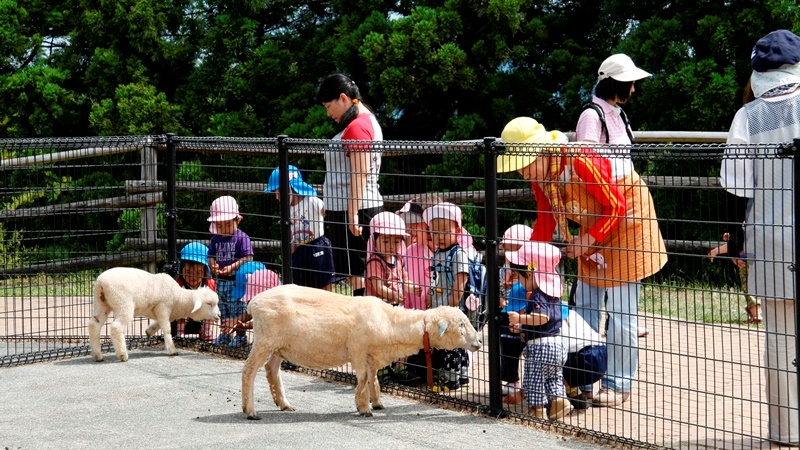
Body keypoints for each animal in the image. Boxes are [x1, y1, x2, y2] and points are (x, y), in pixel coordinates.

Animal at [89, 268, 220, 362]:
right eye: (209, 304)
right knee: (117, 327)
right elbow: (167, 328)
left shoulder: (163, 311)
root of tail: (101, 282)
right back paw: (122, 355)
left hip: (100, 303)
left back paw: (97, 355)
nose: (219, 315)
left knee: (94, 325)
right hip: (123, 303)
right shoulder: (163, 307)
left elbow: (162, 323)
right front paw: (172, 350)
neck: (179, 299)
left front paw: (149, 331)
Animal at [241, 284, 482, 418]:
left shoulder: (371, 356)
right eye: (461, 324)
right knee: (249, 371)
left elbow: (373, 379)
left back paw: (284, 404)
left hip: (278, 346)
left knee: (272, 370)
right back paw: (250, 411)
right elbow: (364, 380)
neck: (391, 323)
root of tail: (254, 302)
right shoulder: (358, 351)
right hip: (265, 340)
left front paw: (376, 403)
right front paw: (364, 407)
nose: (479, 342)